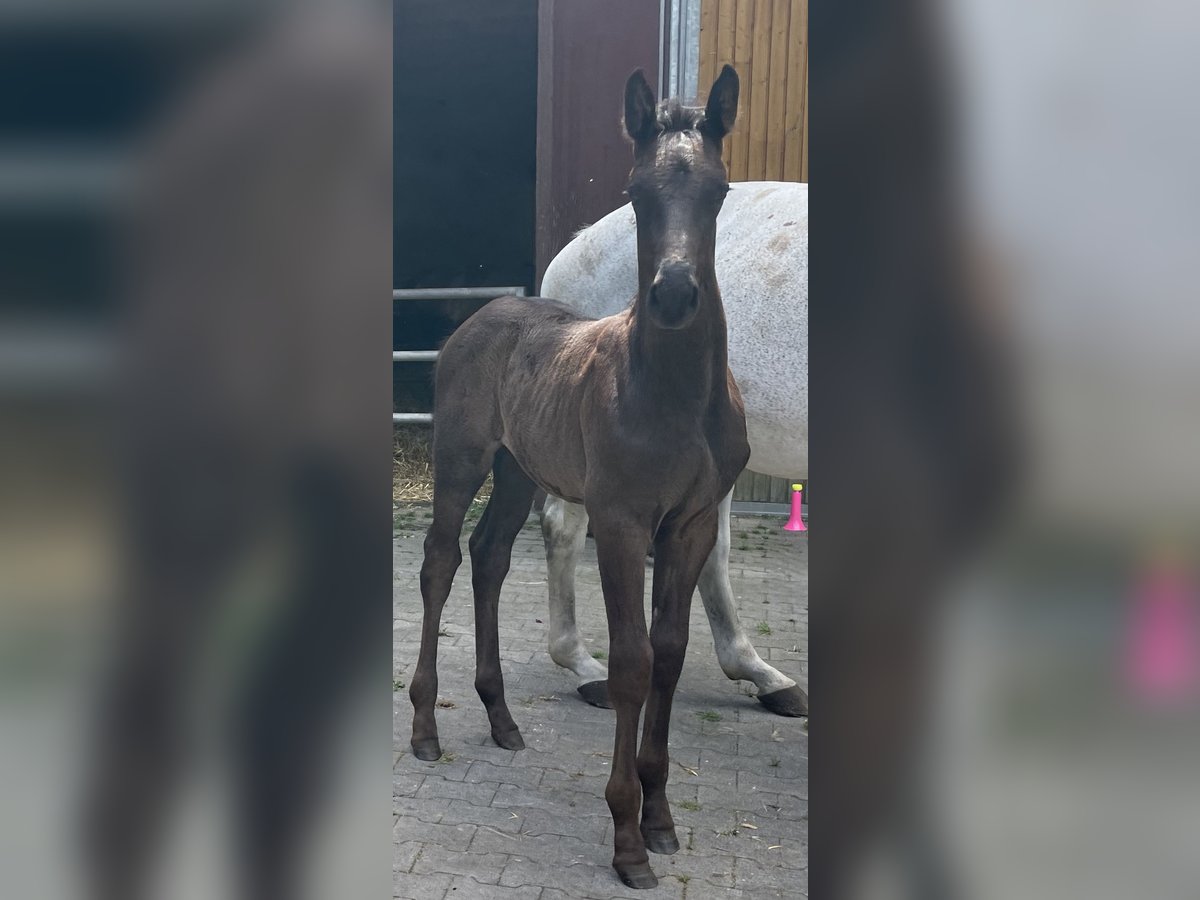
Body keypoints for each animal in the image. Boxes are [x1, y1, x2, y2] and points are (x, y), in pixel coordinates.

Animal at [412, 66, 748, 892]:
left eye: (719, 190)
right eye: (635, 193)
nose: (674, 294)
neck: (672, 392)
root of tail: (482, 316)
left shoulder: (690, 521)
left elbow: (669, 654)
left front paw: (661, 819)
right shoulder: (621, 519)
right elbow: (630, 662)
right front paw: (626, 838)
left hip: (518, 471)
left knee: (491, 558)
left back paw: (502, 719)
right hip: (462, 460)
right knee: (441, 562)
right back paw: (427, 727)